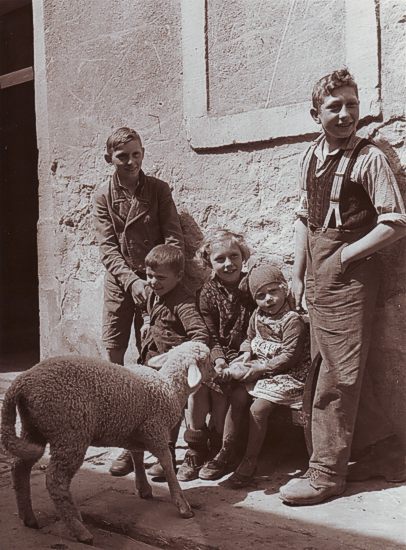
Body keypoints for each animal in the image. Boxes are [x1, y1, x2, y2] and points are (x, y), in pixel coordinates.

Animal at [0, 342, 213, 544]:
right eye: (208, 359)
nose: (219, 370)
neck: (169, 388)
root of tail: (22, 382)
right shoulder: (155, 430)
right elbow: (167, 465)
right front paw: (182, 505)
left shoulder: (134, 430)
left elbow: (137, 457)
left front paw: (143, 488)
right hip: (69, 431)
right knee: (56, 481)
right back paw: (79, 530)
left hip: (33, 428)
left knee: (19, 467)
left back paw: (29, 518)